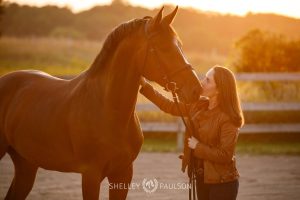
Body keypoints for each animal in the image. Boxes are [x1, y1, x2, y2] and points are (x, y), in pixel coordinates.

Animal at [0, 7, 203, 199]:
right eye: (164, 47)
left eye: (180, 45)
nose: (196, 90)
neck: (108, 109)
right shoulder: (91, 175)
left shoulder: (123, 174)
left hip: (26, 164)